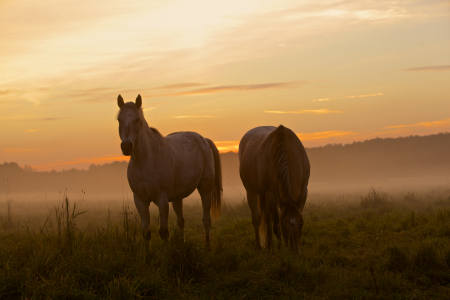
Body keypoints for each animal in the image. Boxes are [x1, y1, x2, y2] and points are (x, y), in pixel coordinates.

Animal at [116, 95, 221, 247]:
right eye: (119, 119)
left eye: (137, 119)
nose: (126, 146)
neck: (145, 161)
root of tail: (204, 140)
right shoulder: (140, 200)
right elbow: (146, 232)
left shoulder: (162, 200)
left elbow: (164, 232)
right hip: (177, 197)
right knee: (181, 221)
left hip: (205, 189)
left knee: (206, 220)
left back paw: (207, 247)